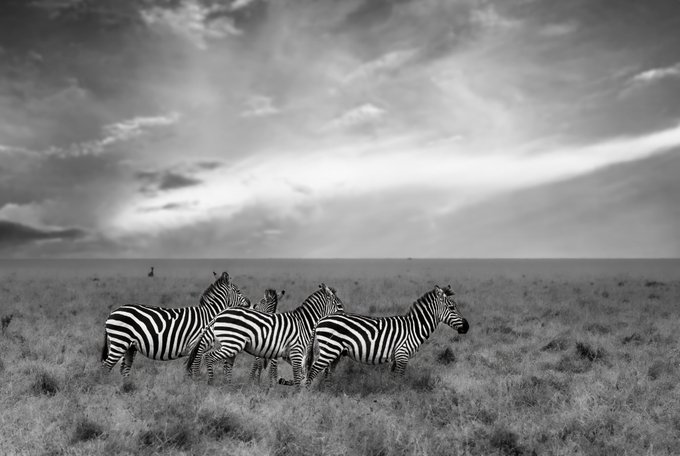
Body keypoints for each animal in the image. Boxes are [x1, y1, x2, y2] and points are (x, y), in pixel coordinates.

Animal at [100, 271, 251, 377]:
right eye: (238, 291)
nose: (249, 303)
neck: (208, 316)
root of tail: (112, 312)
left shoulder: (193, 350)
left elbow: (189, 371)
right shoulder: (198, 347)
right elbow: (195, 370)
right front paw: (197, 387)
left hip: (129, 347)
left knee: (123, 369)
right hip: (120, 341)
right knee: (106, 366)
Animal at [186, 283, 344, 386]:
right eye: (339, 305)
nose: (343, 318)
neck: (303, 322)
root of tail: (221, 313)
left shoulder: (291, 354)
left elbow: (300, 373)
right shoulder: (296, 351)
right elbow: (298, 376)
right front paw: (296, 397)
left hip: (232, 345)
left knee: (226, 365)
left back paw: (227, 387)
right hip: (232, 344)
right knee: (209, 357)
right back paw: (211, 383)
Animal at [303, 285, 468, 387]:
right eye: (452, 307)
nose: (467, 326)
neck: (414, 328)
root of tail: (320, 320)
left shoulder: (397, 357)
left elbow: (394, 379)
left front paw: (392, 395)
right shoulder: (402, 354)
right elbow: (400, 379)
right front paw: (399, 399)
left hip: (335, 353)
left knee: (327, 373)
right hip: (329, 349)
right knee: (313, 371)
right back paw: (307, 395)